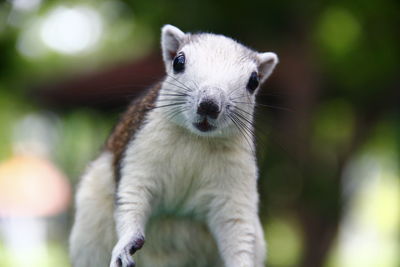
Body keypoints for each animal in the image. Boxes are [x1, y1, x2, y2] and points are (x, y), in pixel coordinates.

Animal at [69, 24, 278, 266]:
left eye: (254, 81)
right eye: (179, 62)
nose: (209, 105)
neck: (196, 139)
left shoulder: (235, 185)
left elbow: (237, 229)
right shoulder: (139, 154)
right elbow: (131, 199)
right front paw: (126, 243)